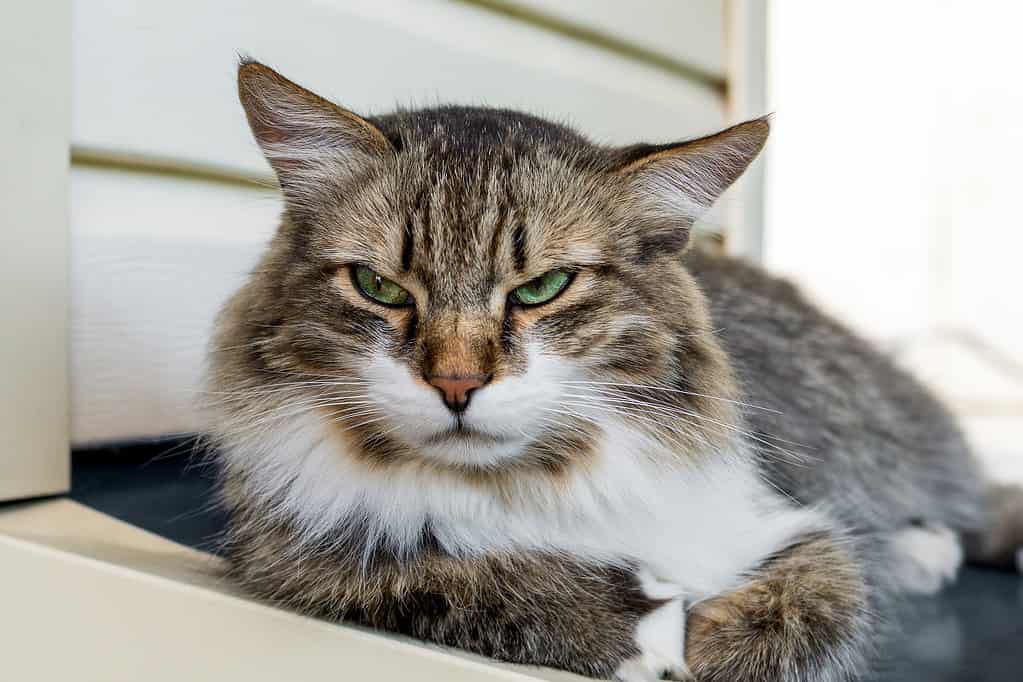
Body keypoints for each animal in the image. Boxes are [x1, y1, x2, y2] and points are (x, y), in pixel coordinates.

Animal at [203, 60, 1018, 682]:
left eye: (542, 288)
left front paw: (703, 648)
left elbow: (813, 605)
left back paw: (928, 548)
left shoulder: (784, 519)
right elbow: (441, 577)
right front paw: (639, 630)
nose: (457, 384)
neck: (531, 485)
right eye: (380, 288)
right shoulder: (289, 555)